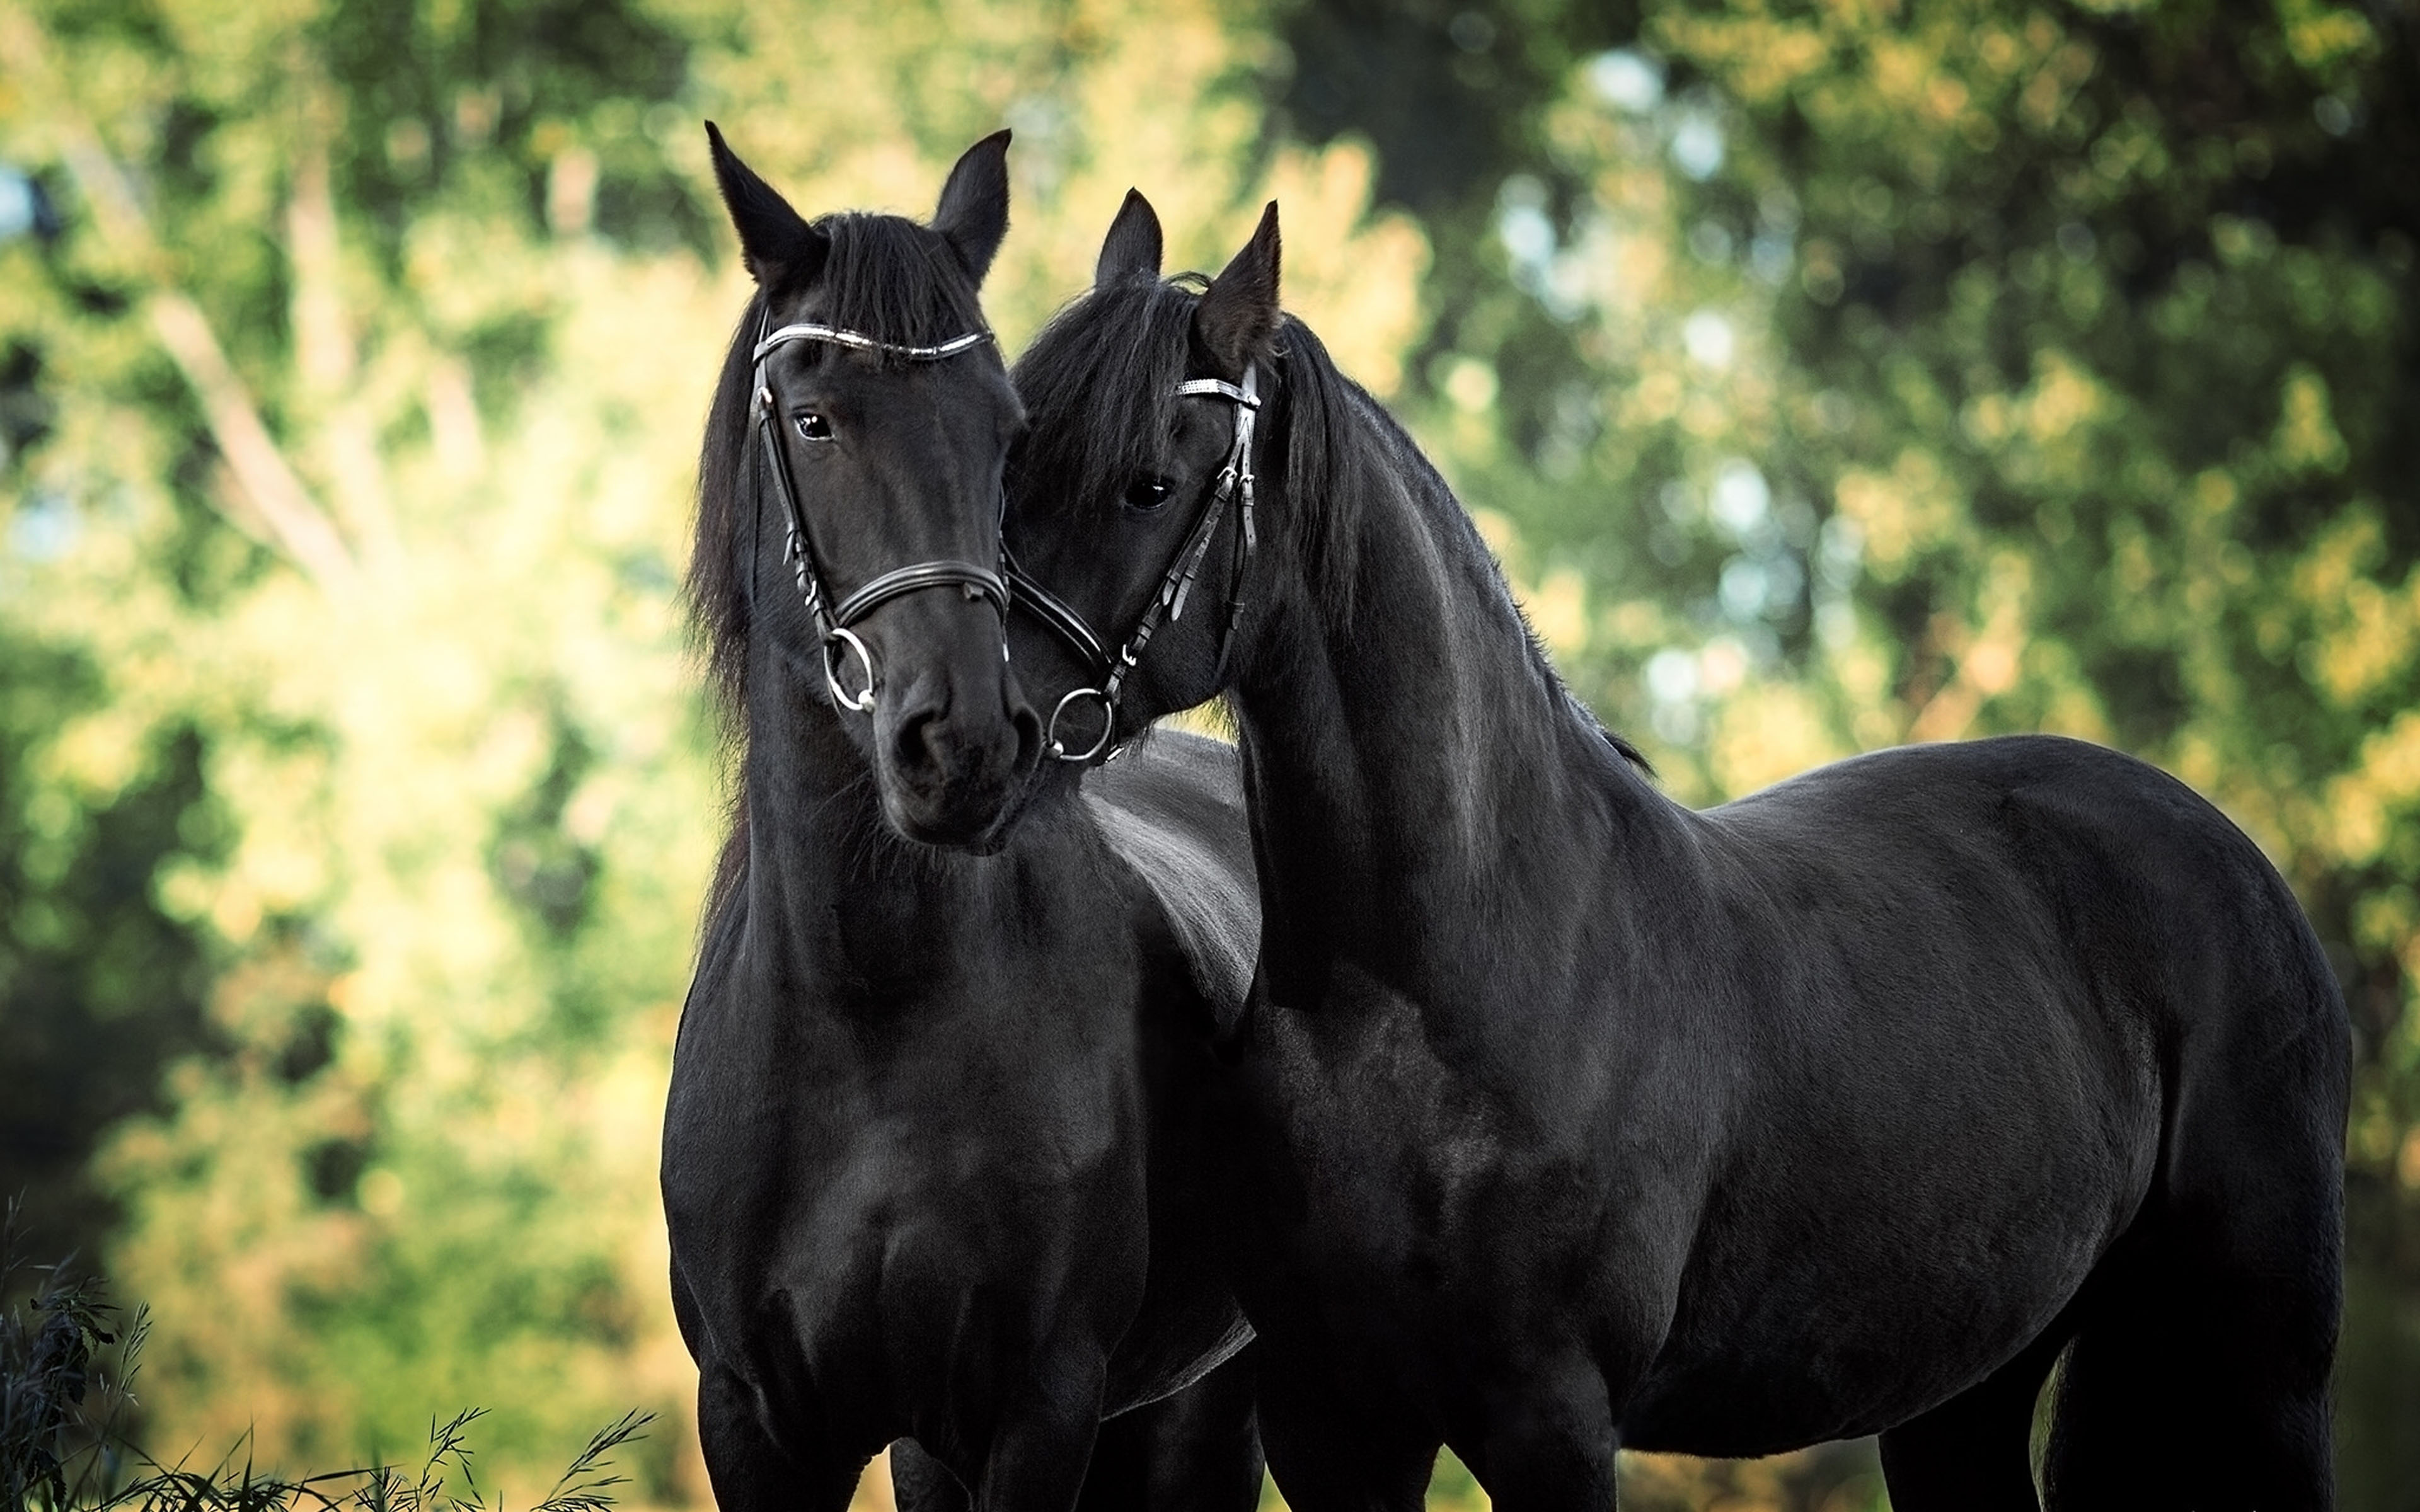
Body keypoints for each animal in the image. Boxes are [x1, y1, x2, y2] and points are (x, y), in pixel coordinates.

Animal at [663, 135, 1268, 1509]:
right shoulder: (764, 1423)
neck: (869, 1005)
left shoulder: (1034, 1409)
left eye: (1005, 436)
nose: (965, 749)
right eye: (817, 421)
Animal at [992, 191, 2352, 1509]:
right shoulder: (1336, 1422)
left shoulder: (1549, 1421)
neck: (1442, 986)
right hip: (1963, 1391)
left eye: (1147, 485)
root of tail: (2238, 865)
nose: (973, 722)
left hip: (2263, 1366)